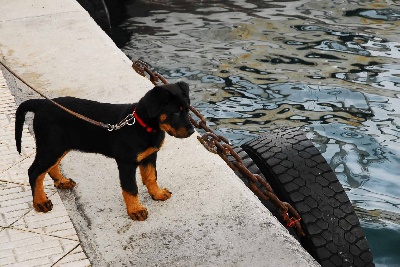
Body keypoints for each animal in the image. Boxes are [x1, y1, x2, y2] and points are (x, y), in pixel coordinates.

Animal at [15, 82, 195, 221]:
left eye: (187, 109)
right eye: (175, 112)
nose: (192, 131)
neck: (142, 125)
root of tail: (42, 104)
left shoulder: (150, 156)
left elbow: (151, 177)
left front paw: (157, 194)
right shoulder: (126, 163)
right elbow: (131, 188)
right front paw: (136, 211)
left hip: (60, 145)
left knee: (50, 167)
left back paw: (61, 181)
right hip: (51, 146)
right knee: (34, 172)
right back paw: (40, 202)